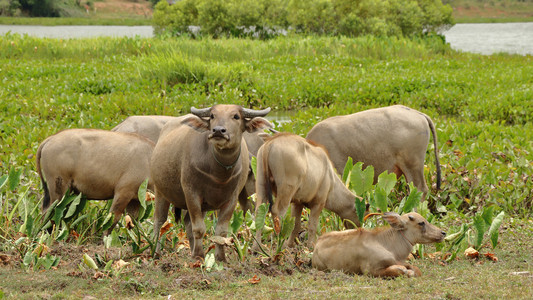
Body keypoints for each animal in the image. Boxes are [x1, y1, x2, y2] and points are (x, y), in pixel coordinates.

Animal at [151, 104, 272, 262]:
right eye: (213, 116)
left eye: (236, 116)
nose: (218, 131)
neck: (219, 175)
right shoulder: (191, 193)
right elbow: (199, 228)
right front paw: (199, 255)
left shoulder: (232, 199)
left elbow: (221, 231)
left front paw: (220, 258)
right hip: (160, 191)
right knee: (159, 221)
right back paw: (156, 253)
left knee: (187, 223)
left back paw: (192, 250)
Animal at [312, 212, 444, 278]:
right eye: (421, 223)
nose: (443, 233)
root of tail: (317, 243)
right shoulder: (370, 270)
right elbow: (397, 271)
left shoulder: (400, 261)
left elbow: (416, 270)